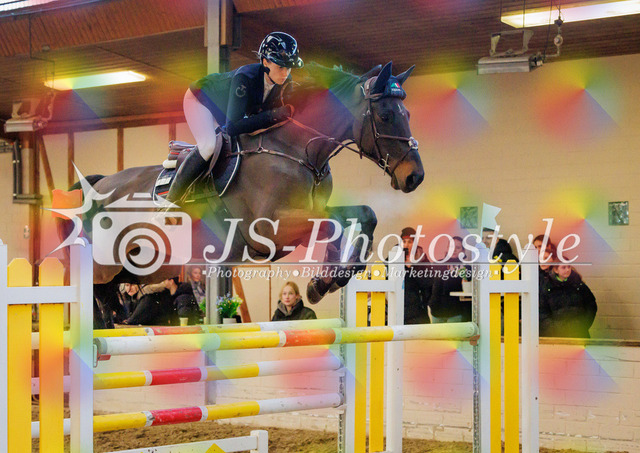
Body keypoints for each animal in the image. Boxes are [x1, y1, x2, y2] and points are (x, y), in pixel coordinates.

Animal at [58, 61, 424, 325]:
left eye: (408, 114)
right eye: (386, 115)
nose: (415, 177)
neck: (299, 153)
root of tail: (99, 183)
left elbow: (362, 215)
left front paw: (327, 282)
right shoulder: (272, 228)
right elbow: (336, 222)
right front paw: (325, 282)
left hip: (145, 265)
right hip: (107, 260)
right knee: (94, 283)